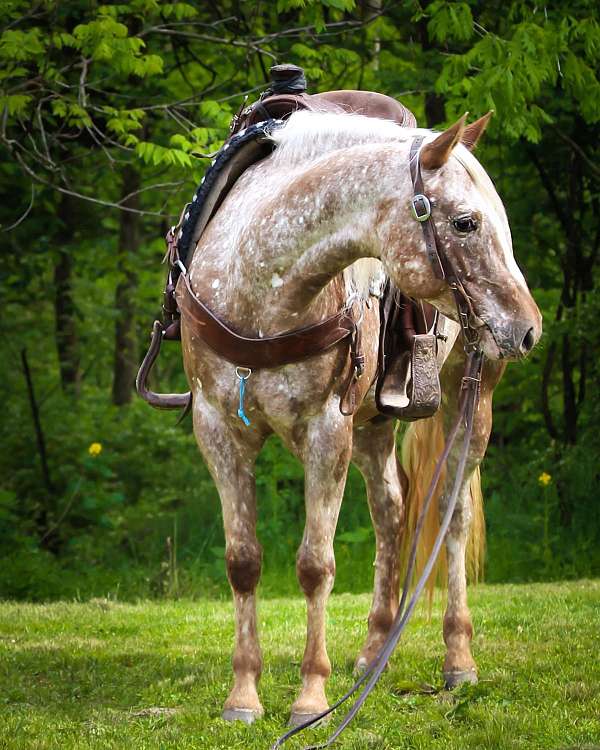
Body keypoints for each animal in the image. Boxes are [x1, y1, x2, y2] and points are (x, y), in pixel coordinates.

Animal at [177, 111, 540, 728]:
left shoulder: (327, 431)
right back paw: (374, 649)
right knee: (390, 513)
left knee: (452, 516)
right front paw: (243, 696)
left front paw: (310, 700)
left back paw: (458, 658)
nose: (528, 327)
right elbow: (243, 562)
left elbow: (315, 565)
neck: (259, 295)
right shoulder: (218, 431)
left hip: (472, 400)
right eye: (466, 222)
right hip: (374, 423)